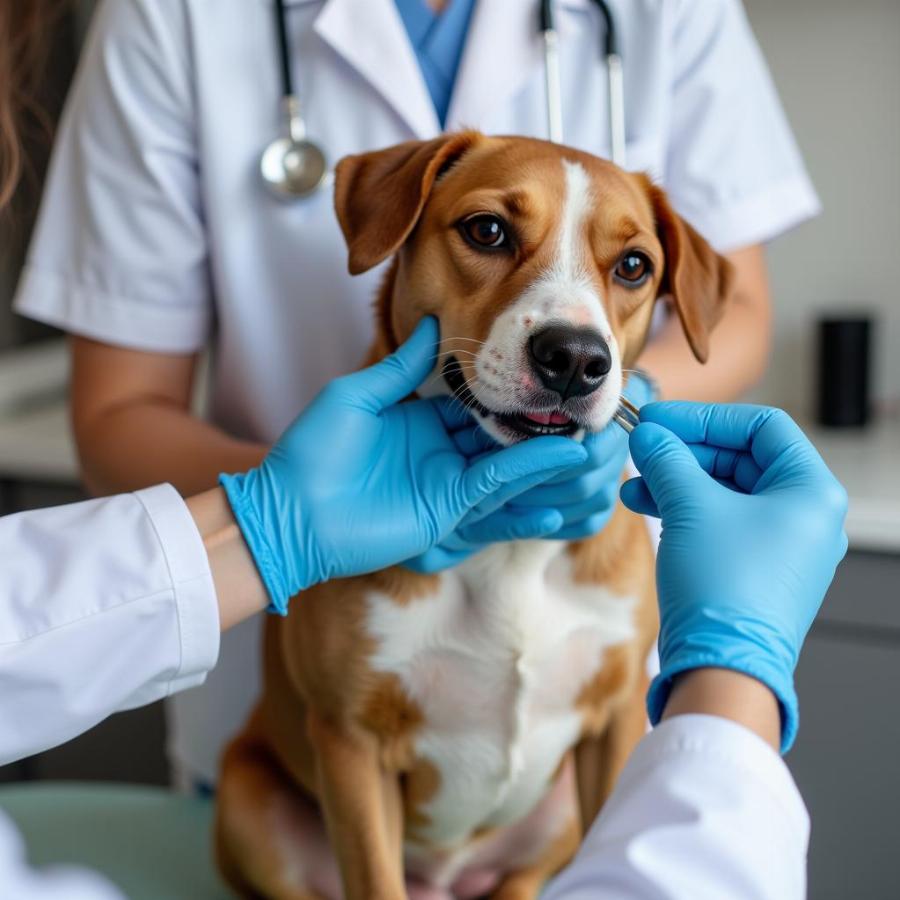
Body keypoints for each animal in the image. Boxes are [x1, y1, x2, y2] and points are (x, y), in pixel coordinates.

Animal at [214, 128, 736, 900]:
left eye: (634, 265)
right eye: (487, 230)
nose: (574, 358)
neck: (511, 536)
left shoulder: (616, 725)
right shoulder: (351, 745)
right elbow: (374, 878)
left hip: (557, 819)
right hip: (249, 803)